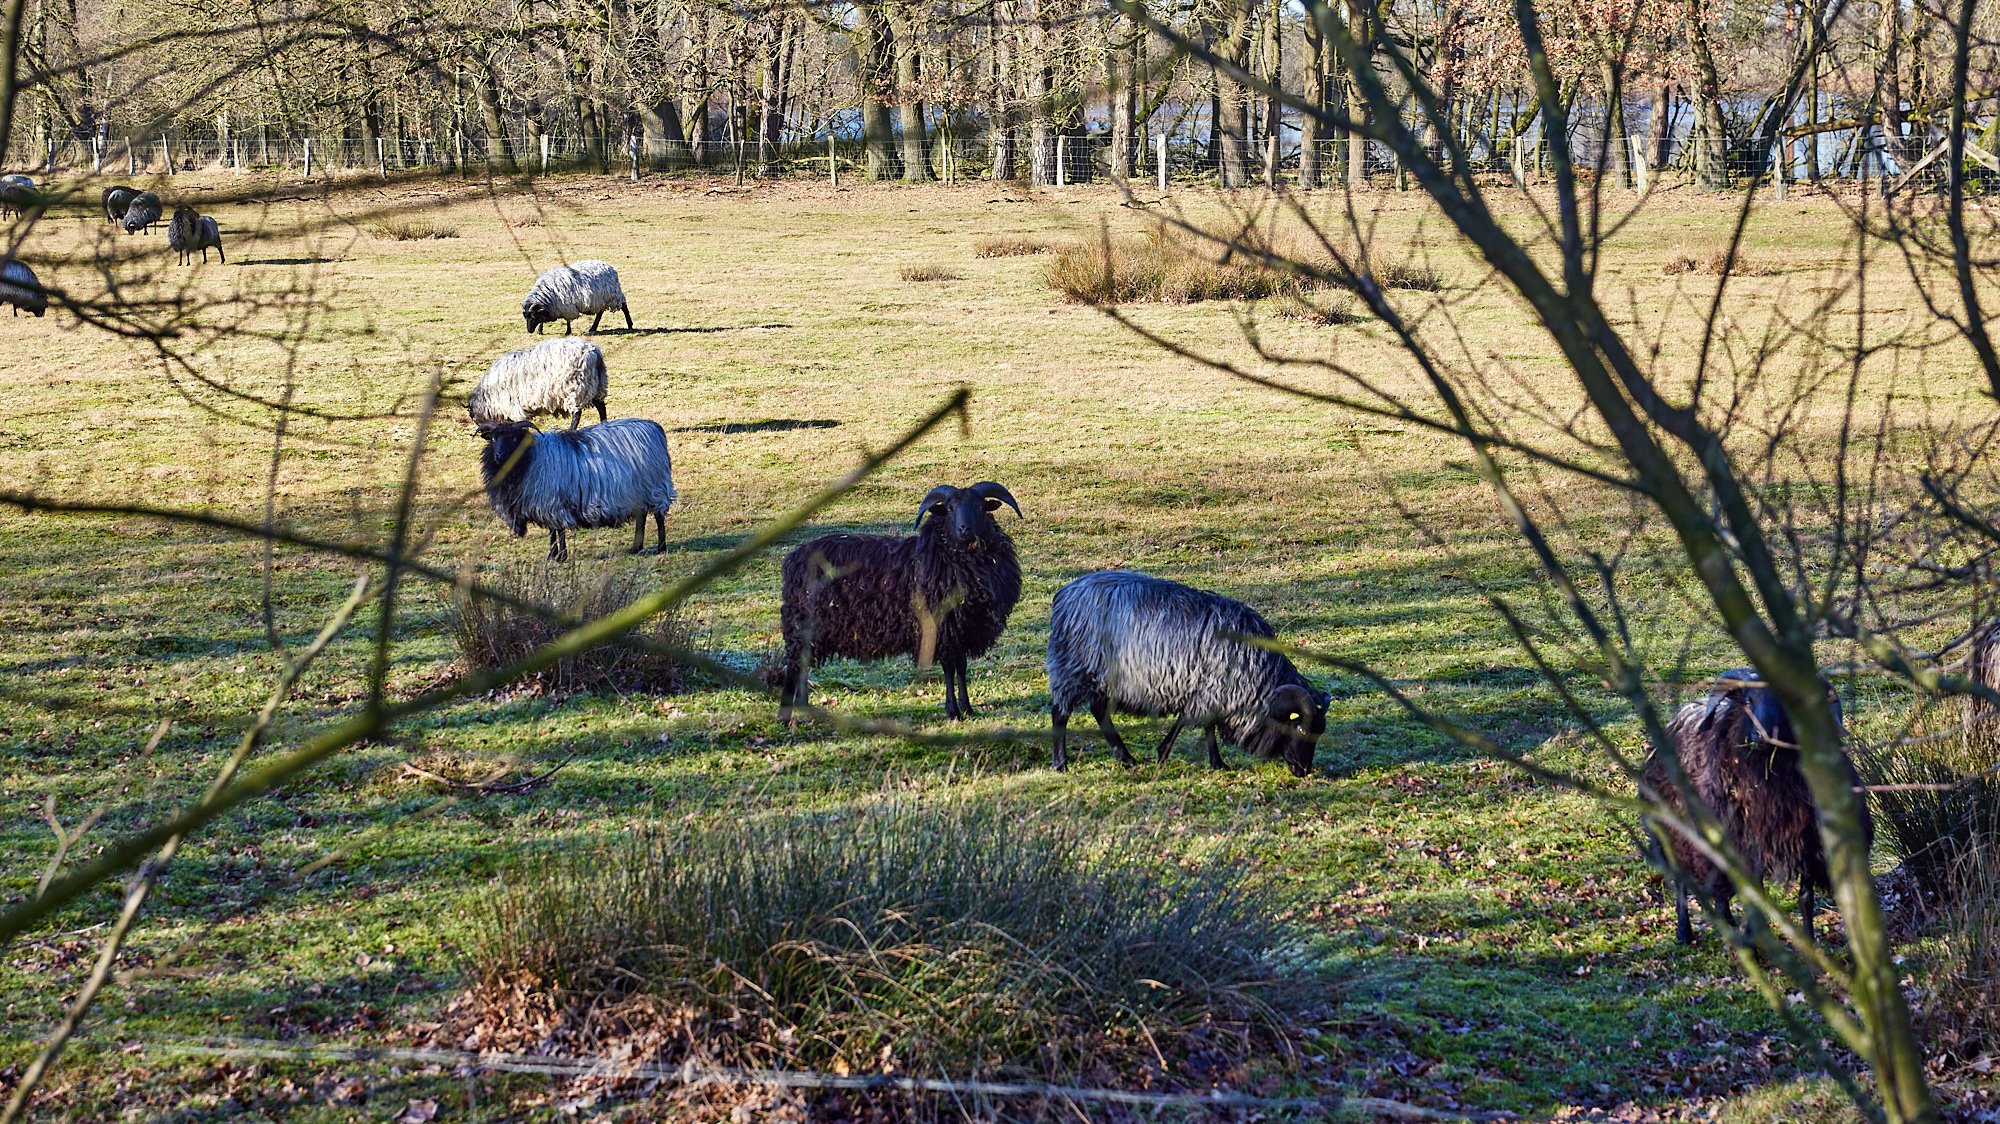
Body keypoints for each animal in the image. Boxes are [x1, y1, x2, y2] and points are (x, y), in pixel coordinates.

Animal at [470, 332, 608, 428]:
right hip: (596, 385)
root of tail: (594, 351)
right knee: (601, 406)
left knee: (577, 414)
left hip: (576, 389)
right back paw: (604, 424)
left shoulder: (513, 408)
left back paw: (571, 429)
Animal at [480, 416, 676, 560]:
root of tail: (655, 428)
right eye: (494, 438)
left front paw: (560, 556)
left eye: (514, 438)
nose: (499, 455)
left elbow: (558, 530)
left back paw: (661, 547)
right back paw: (636, 547)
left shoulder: (552, 503)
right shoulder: (544, 504)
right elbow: (553, 531)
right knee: (641, 516)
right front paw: (553, 555)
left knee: (658, 516)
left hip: (655, 486)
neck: (530, 458)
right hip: (638, 490)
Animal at [780, 480, 1024, 716]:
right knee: (794, 666)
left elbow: (961, 668)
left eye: (980, 507)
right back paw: (786, 714)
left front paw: (967, 708)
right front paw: (953, 710)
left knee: (802, 665)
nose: (965, 529)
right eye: (949, 508)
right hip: (801, 624)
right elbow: (949, 669)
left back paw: (804, 708)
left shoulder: (962, 630)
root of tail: (794, 558)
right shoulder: (942, 628)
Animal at [1048, 568, 1328, 768]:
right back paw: (1061, 764)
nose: (1304, 770)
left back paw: (1126, 758)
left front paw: (1214, 762)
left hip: (1101, 678)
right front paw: (1169, 755)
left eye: (1320, 732)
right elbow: (1194, 722)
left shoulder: (1209, 690)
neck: (1260, 675)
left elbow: (1203, 725)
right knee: (1061, 713)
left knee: (1099, 712)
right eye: (1301, 729)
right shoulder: (1207, 688)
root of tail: (1065, 595)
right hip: (1074, 670)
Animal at [1640, 664, 1872, 944]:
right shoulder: (1748, 846)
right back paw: (1685, 932)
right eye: (1749, 700)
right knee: (1685, 880)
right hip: (1675, 830)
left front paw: (1810, 943)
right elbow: (1755, 895)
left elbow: (1805, 898)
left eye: (1783, 701)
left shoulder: (1809, 844)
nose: (1760, 736)